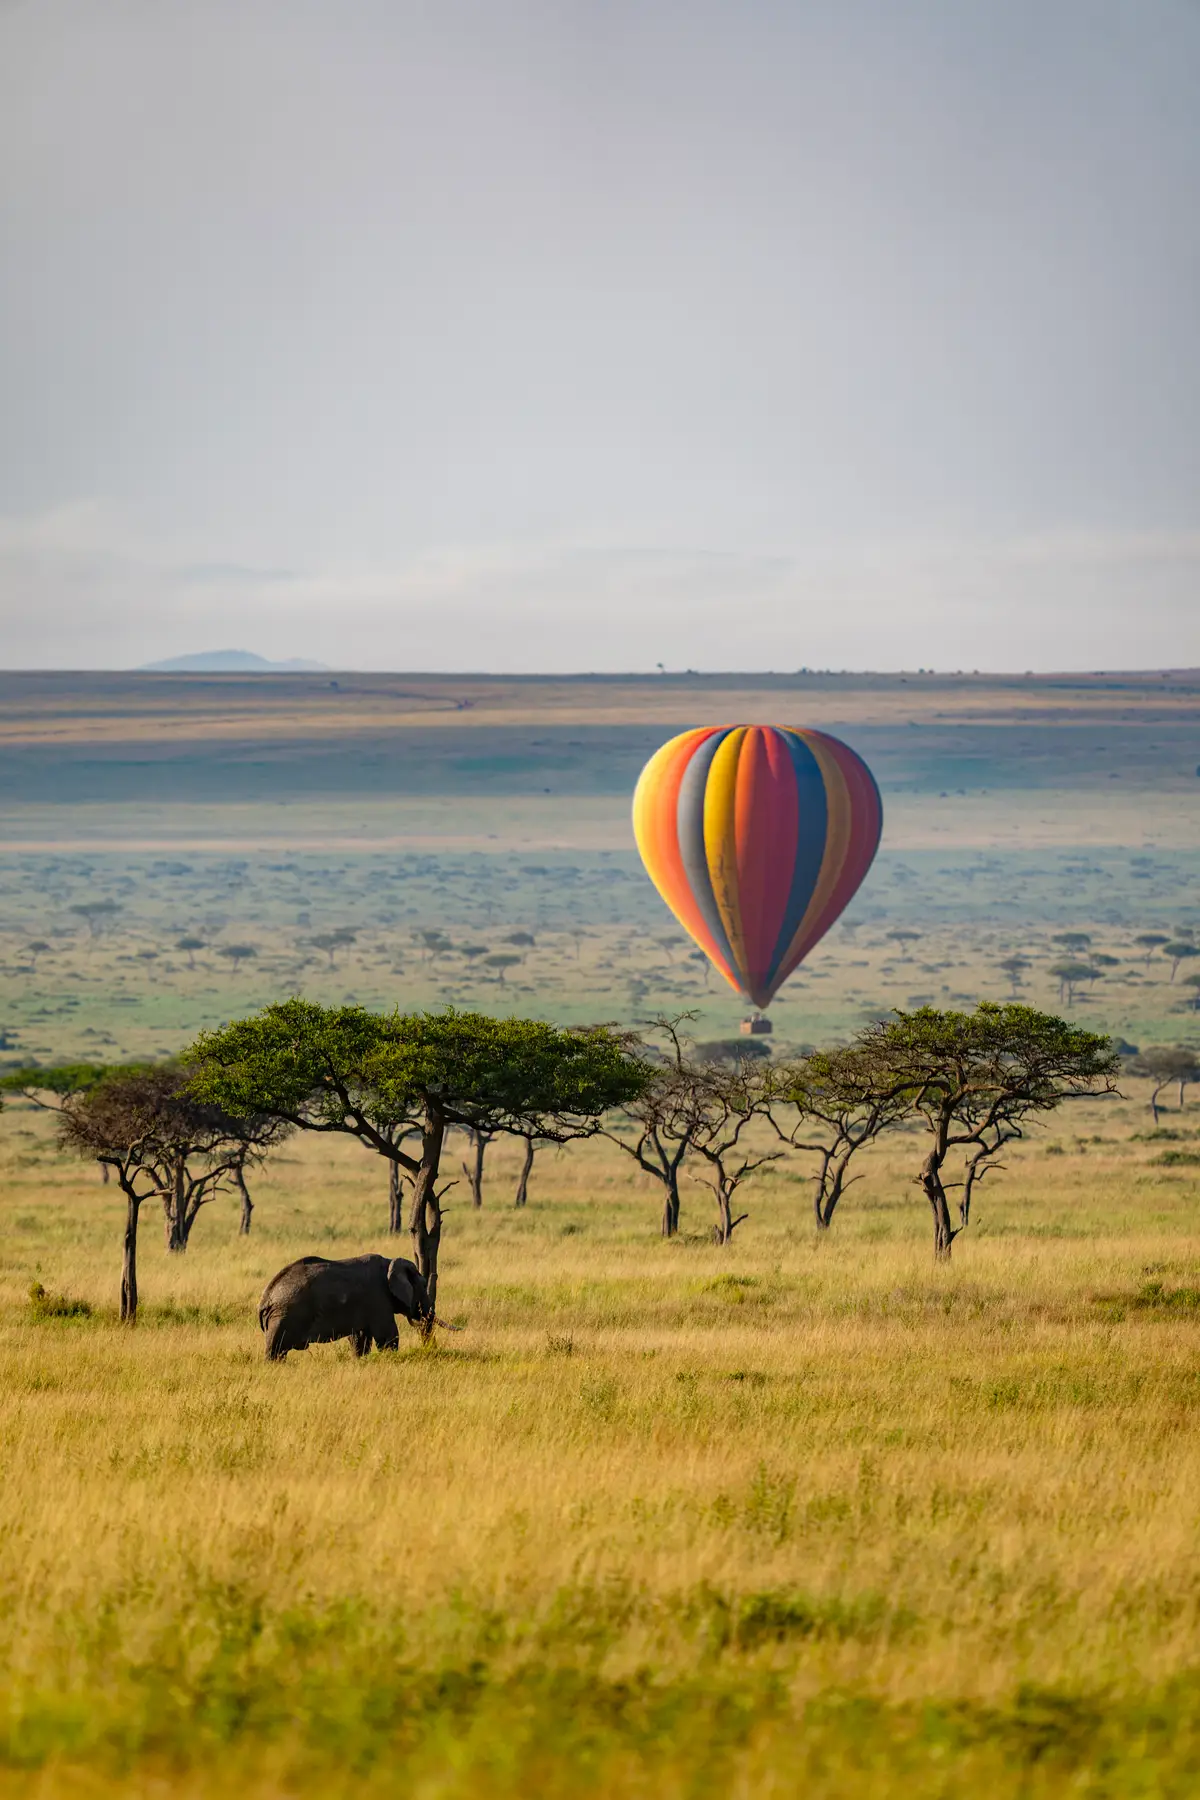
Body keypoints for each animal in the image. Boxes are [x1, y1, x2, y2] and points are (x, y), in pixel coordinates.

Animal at [255, 1252, 433, 1360]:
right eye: (424, 1284)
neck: (389, 1263)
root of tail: (265, 1298)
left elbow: (359, 1337)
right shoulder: (378, 1298)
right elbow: (387, 1337)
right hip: (283, 1316)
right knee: (276, 1350)